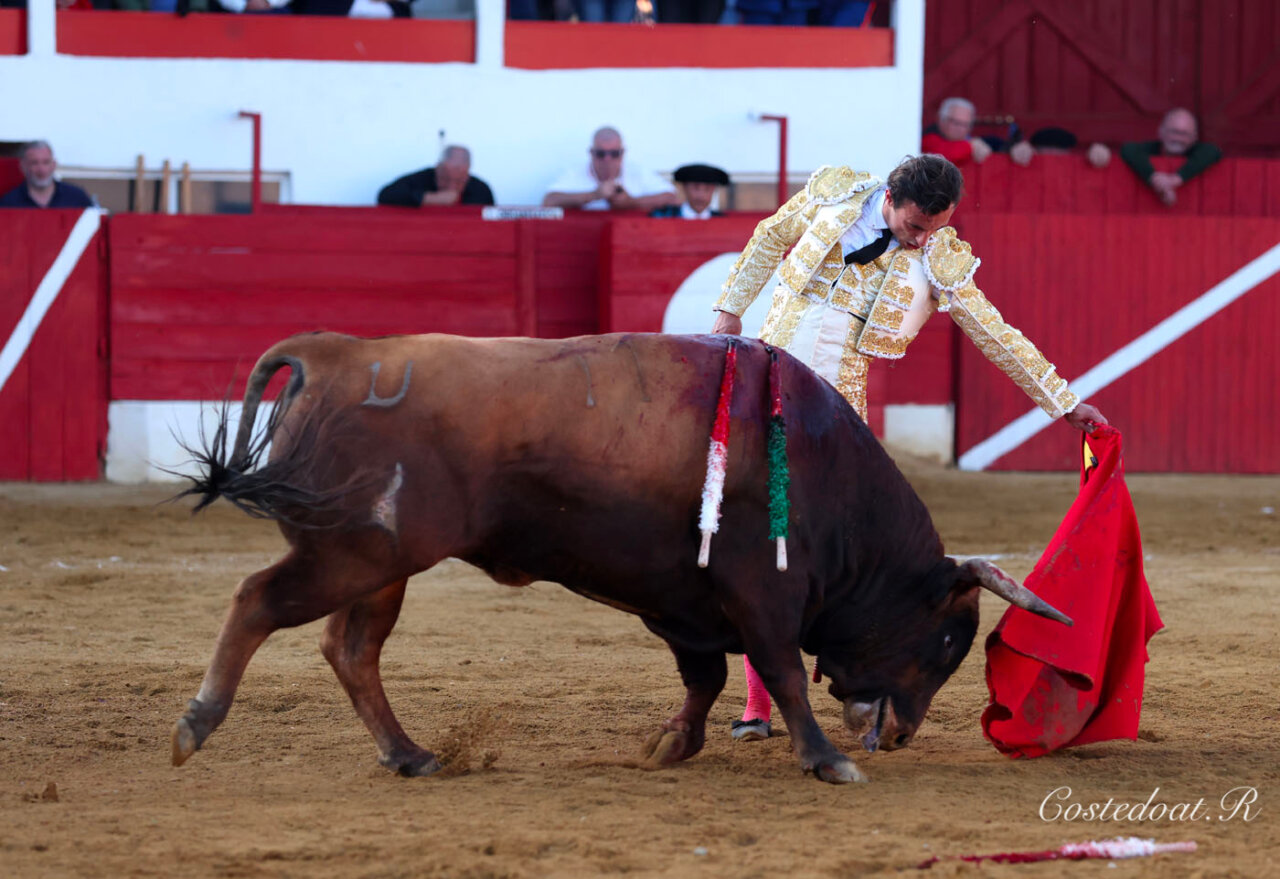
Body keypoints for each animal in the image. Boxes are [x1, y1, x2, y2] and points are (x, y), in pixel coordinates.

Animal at [170, 331, 1069, 784]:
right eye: (950, 640)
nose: (907, 733)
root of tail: (340, 351)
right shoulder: (761, 588)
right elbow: (778, 669)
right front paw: (824, 759)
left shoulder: (687, 600)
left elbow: (706, 676)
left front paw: (672, 743)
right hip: (354, 550)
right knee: (257, 600)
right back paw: (196, 723)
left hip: (382, 561)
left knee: (351, 647)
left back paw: (410, 753)